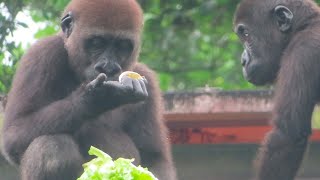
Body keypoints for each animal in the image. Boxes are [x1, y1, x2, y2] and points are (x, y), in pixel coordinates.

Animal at [0, 0, 178, 179]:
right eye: (97, 42)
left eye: (122, 46)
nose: (108, 67)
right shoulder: (41, 53)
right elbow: (14, 132)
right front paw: (95, 98)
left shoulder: (147, 79)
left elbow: (154, 158)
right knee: (51, 146)